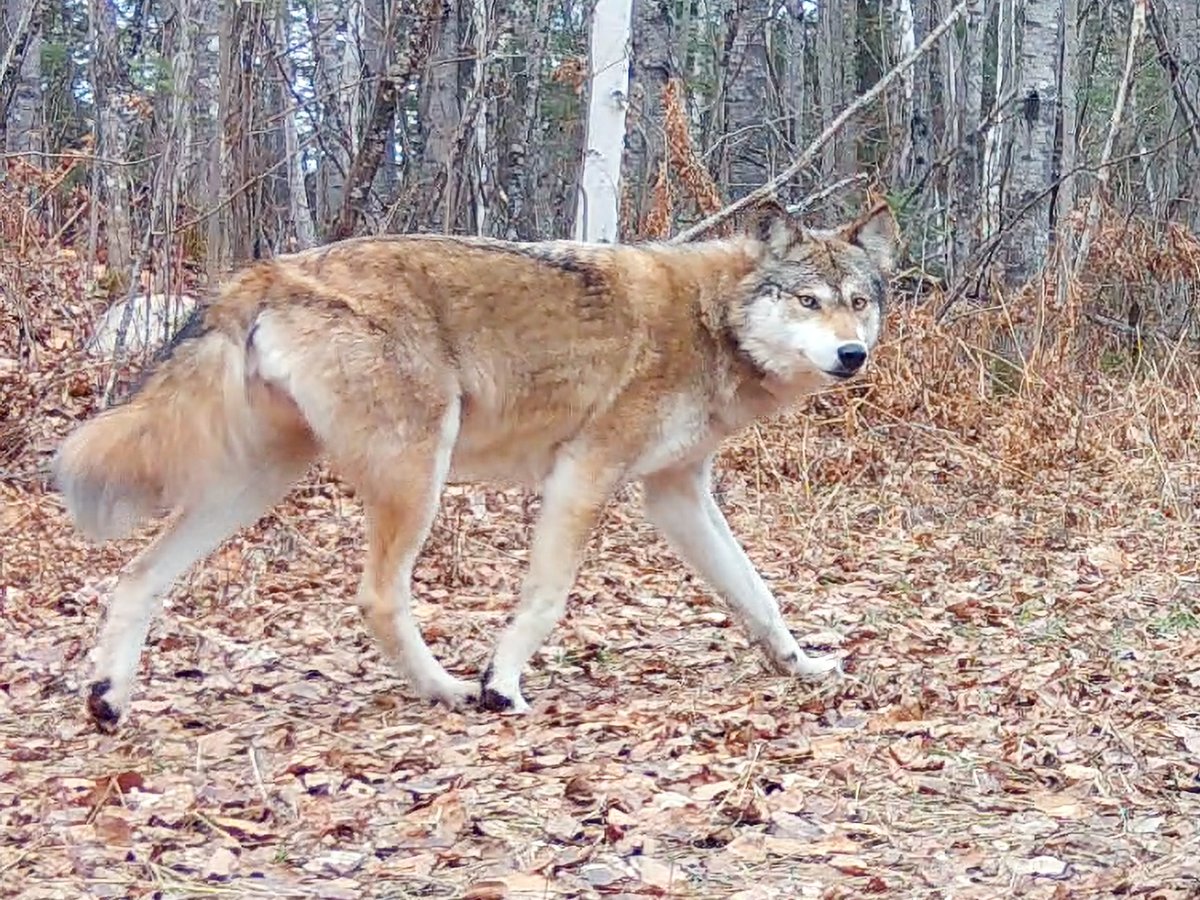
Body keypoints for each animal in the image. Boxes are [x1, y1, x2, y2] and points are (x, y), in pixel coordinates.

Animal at [52, 199, 898, 732]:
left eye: (858, 301)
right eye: (809, 301)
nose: (851, 356)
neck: (712, 323)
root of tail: (271, 268)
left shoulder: (677, 494)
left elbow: (757, 596)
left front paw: (802, 666)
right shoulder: (585, 473)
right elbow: (546, 599)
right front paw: (502, 685)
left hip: (259, 483)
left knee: (139, 574)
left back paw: (107, 699)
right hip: (414, 477)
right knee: (377, 599)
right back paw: (450, 690)